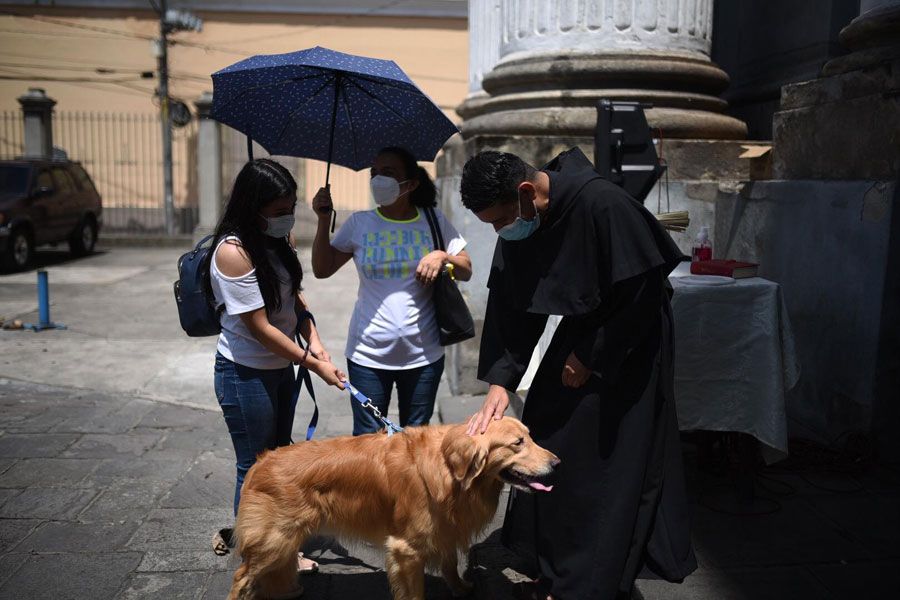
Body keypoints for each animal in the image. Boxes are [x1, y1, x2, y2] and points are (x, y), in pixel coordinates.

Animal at [227, 418, 556, 600]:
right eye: (518, 443)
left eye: (530, 436)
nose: (557, 463)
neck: (451, 472)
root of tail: (260, 462)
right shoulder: (406, 549)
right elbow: (416, 591)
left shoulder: (444, 529)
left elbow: (450, 563)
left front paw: (460, 588)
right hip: (274, 539)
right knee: (242, 576)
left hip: (284, 539)